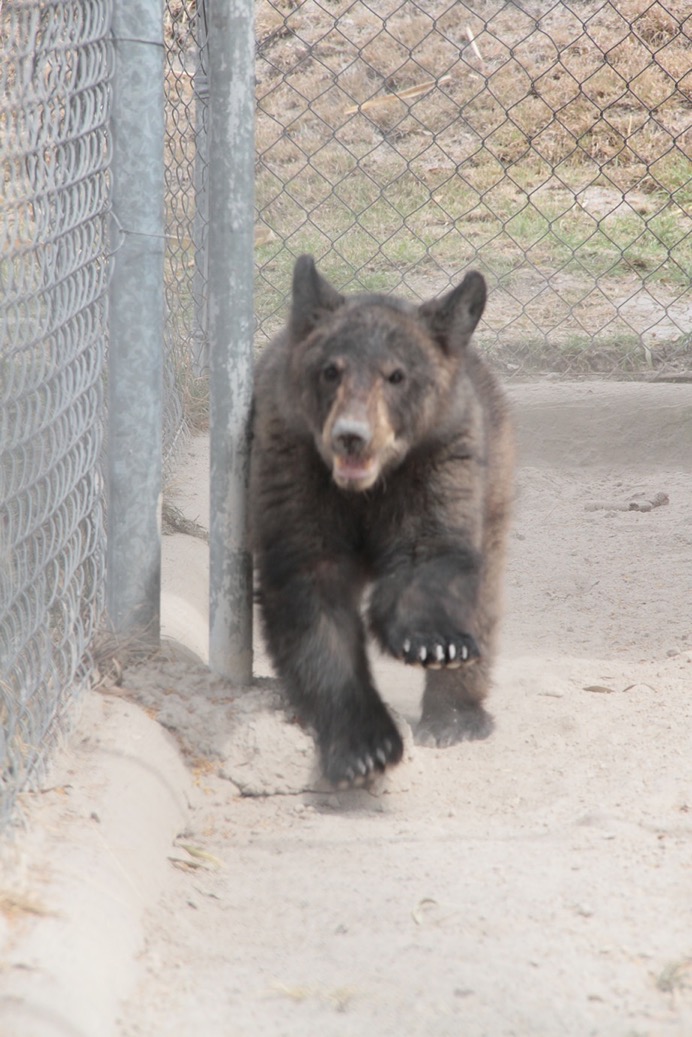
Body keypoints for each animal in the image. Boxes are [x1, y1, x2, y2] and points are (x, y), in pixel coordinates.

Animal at [248, 253, 514, 783]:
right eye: (330, 370)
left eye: (396, 375)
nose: (352, 436)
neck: (365, 489)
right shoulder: (291, 464)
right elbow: (312, 599)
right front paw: (363, 746)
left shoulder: (440, 460)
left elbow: (429, 555)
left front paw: (433, 645)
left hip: (493, 486)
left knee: (484, 593)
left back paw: (458, 717)